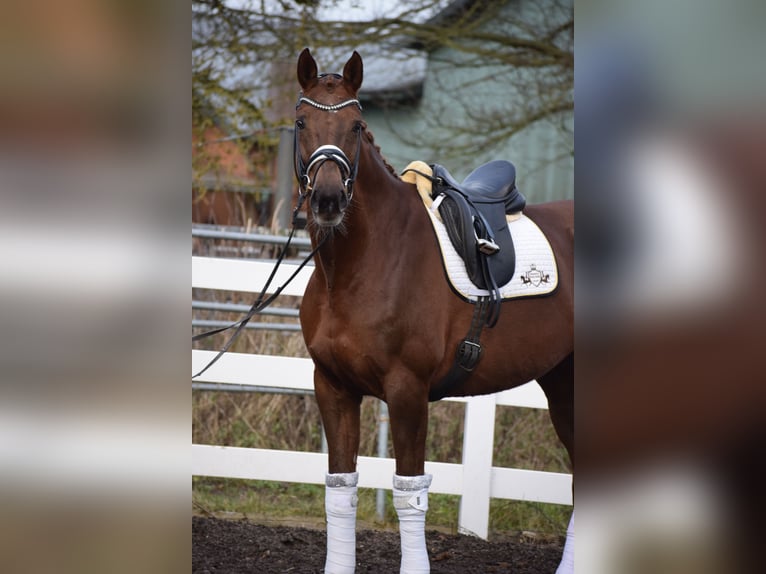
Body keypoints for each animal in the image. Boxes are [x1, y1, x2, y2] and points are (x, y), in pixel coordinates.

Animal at [296, 50, 572, 574]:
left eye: (357, 125)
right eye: (301, 122)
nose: (328, 200)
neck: (359, 266)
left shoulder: (408, 391)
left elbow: (409, 492)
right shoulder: (333, 388)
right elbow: (340, 489)